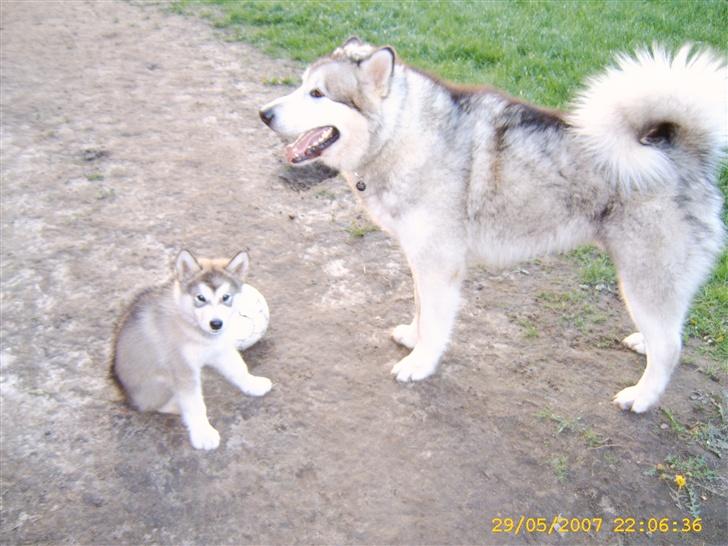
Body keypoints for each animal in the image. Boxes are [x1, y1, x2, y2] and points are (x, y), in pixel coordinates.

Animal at [112, 249, 272, 448]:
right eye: (200, 298)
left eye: (226, 297)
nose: (216, 324)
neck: (193, 327)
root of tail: (123, 391)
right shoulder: (183, 369)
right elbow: (195, 404)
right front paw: (203, 433)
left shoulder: (220, 350)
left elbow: (238, 368)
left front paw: (252, 383)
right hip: (159, 382)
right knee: (154, 405)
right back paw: (176, 407)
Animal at [258, 37, 724, 412]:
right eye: (301, 85)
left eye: (318, 93)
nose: (263, 113)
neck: (405, 136)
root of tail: (681, 151)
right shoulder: (420, 260)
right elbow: (421, 309)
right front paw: (413, 335)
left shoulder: (440, 265)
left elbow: (436, 323)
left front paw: (420, 363)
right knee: (669, 329)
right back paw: (644, 342)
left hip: (643, 276)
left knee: (671, 347)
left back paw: (642, 396)